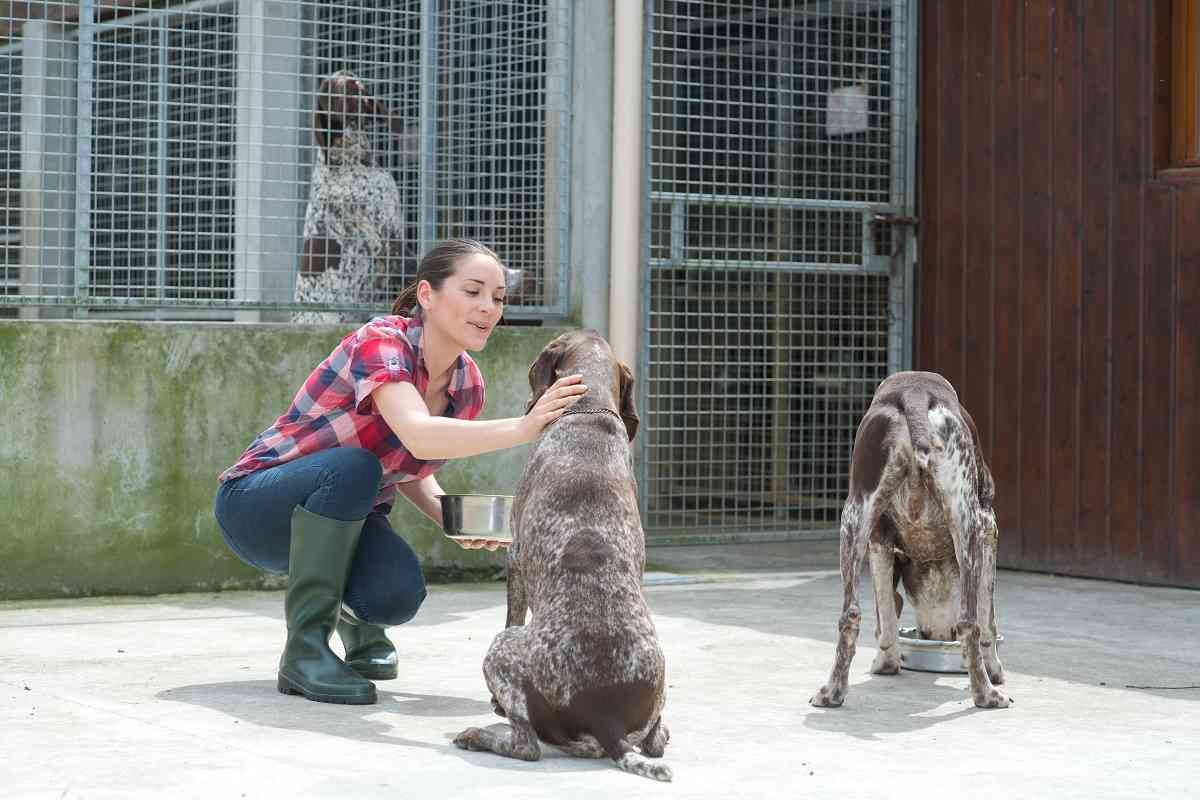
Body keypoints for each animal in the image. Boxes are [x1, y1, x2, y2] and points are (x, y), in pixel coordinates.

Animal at [451, 331, 676, 782]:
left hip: (502, 649)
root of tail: (607, 718)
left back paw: (479, 735)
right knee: (654, 742)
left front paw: (493, 708)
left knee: (526, 746)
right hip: (659, 683)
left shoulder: (515, 559)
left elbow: (512, 611)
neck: (586, 411)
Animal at [806, 371, 1012, 710]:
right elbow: (989, 620)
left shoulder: (880, 541)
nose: (934, 635)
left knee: (850, 615)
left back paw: (832, 691)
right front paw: (994, 669)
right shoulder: (988, 530)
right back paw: (986, 694)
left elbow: (887, 615)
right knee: (970, 620)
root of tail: (914, 396)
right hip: (967, 519)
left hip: (854, 518)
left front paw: (886, 663)